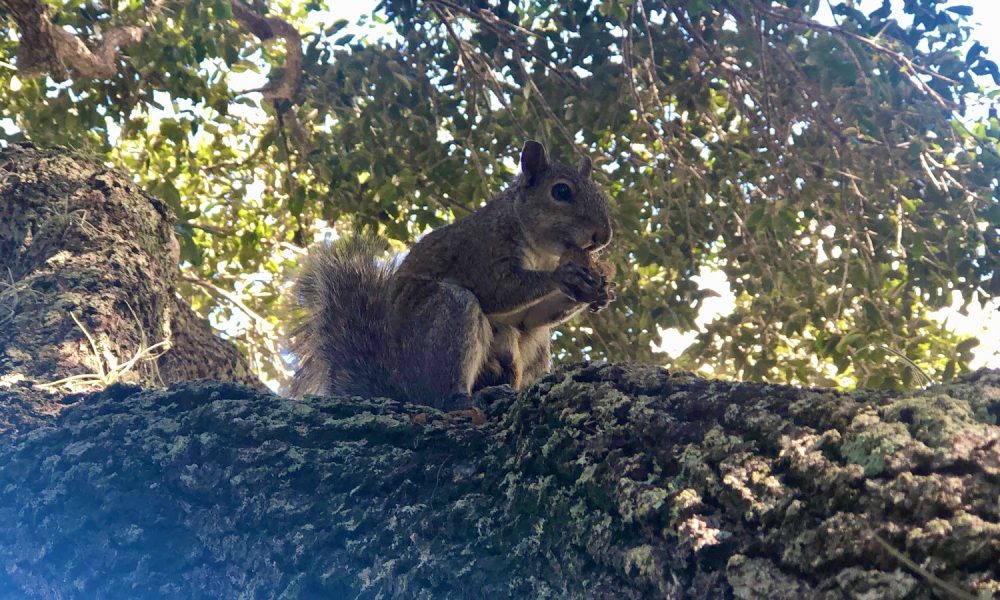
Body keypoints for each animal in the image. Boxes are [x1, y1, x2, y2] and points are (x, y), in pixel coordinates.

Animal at [286, 141, 612, 410]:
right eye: (561, 191)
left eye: (601, 194)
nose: (604, 236)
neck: (541, 249)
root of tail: (402, 388)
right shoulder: (480, 250)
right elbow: (499, 290)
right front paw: (564, 275)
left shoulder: (528, 312)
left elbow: (530, 317)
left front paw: (601, 289)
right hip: (443, 319)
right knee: (441, 392)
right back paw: (465, 399)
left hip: (533, 347)